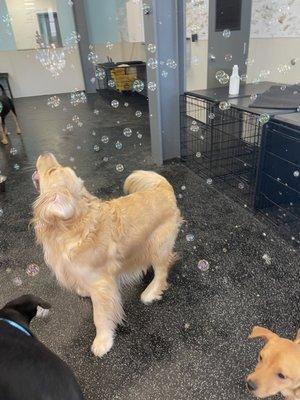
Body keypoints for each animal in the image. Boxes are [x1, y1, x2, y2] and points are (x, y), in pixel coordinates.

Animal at [32, 152, 183, 356]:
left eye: (52, 171)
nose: (45, 153)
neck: (73, 228)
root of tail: (163, 187)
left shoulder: (101, 284)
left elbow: (100, 316)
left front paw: (103, 341)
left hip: (158, 245)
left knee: (162, 270)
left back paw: (150, 292)